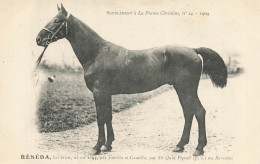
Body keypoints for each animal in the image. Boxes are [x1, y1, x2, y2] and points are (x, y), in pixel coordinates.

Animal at [35, 3, 226, 155]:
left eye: (57, 20)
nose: (38, 39)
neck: (97, 53)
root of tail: (193, 50)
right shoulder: (106, 94)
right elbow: (108, 116)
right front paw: (108, 145)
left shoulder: (99, 93)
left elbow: (100, 118)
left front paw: (96, 147)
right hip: (181, 89)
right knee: (189, 112)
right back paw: (180, 145)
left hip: (186, 89)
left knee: (199, 112)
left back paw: (199, 148)